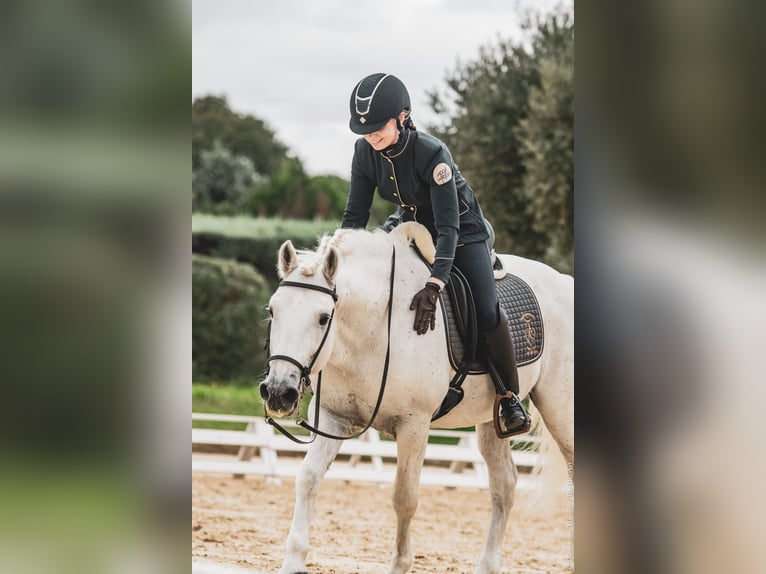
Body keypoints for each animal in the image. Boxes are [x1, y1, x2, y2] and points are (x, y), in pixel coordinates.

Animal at [258, 222, 574, 574]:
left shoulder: (414, 425)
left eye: (324, 317)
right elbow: (308, 478)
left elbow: (405, 497)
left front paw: (400, 564)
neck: (371, 330)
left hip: (561, 412)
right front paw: (293, 560)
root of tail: (565, 282)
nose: (278, 392)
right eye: (273, 310)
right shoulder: (332, 416)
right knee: (504, 484)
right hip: (493, 421)